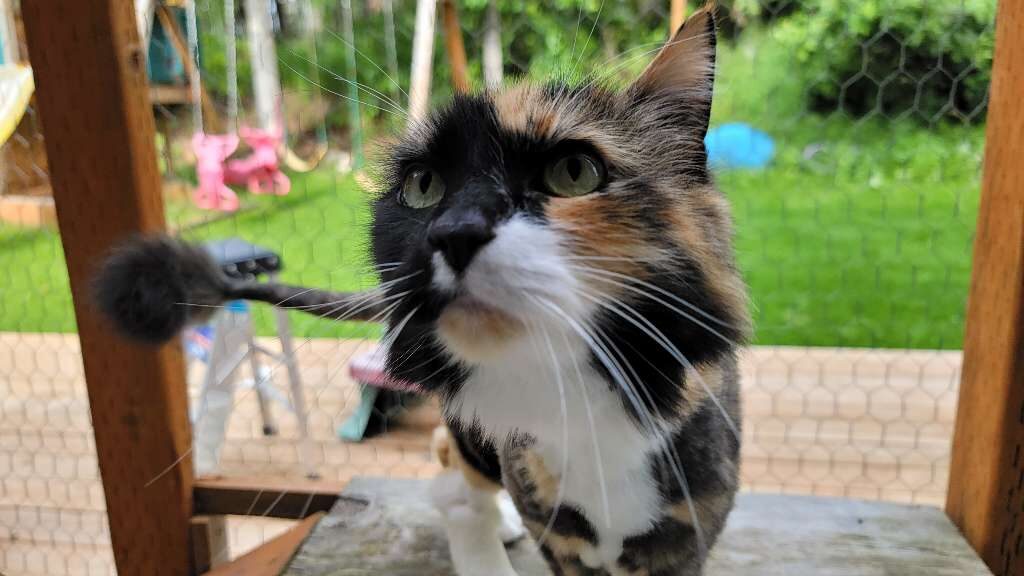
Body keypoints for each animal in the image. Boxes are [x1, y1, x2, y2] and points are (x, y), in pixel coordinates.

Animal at [96, 5, 749, 573]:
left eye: (574, 172)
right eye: (423, 186)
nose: (453, 232)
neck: (575, 398)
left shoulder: (690, 532)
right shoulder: (557, 536)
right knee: (452, 487)